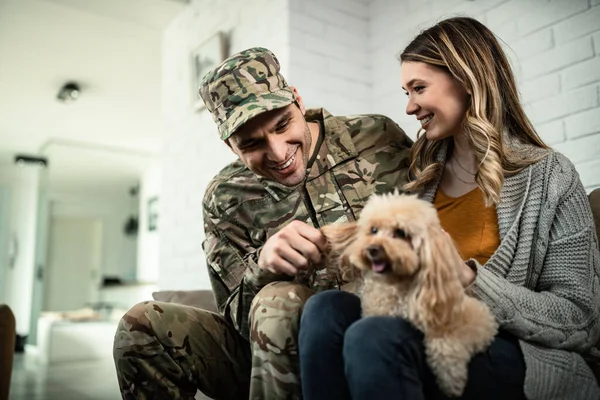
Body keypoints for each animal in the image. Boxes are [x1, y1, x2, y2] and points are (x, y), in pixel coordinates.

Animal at [318, 192, 496, 396]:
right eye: (373, 230)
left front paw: (451, 380)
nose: (372, 249)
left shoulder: (477, 317)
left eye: (401, 233)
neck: (397, 287)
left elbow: (448, 341)